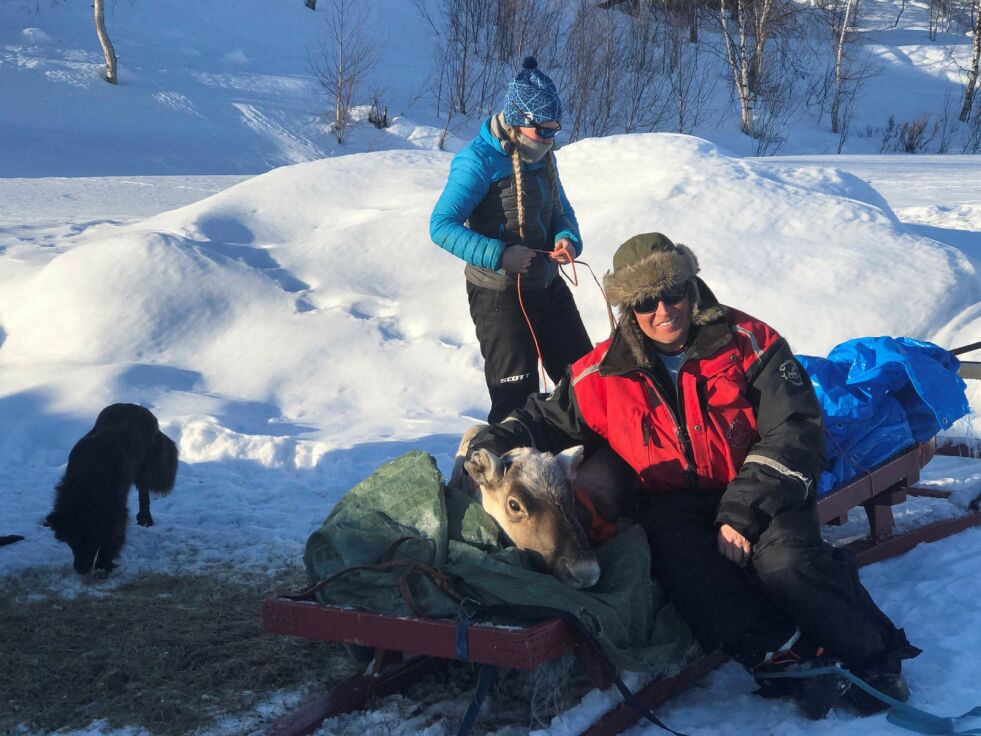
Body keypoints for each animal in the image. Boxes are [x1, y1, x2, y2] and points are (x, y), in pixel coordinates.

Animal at [45, 406, 178, 576]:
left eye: (91, 540)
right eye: (71, 541)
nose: (81, 569)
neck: (87, 483)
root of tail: (141, 409)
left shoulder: (115, 508)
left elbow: (112, 534)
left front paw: (103, 564)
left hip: (144, 467)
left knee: (144, 493)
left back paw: (145, 519)